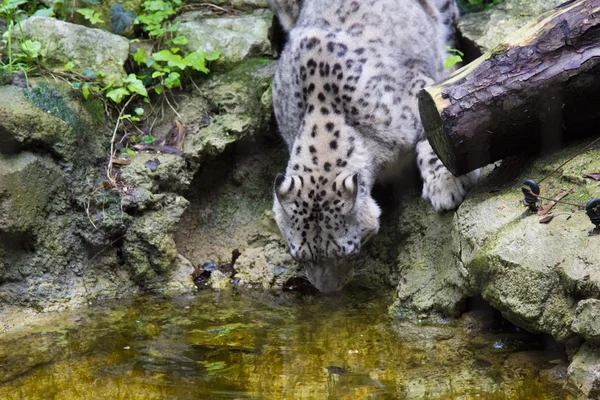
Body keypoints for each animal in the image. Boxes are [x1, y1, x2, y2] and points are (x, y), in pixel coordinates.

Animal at [270, 0, 480, 294]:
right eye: (300, 256)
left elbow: (435, 130)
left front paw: (446, 183)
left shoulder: (417, 94)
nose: (327, 291)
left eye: (345, 252)